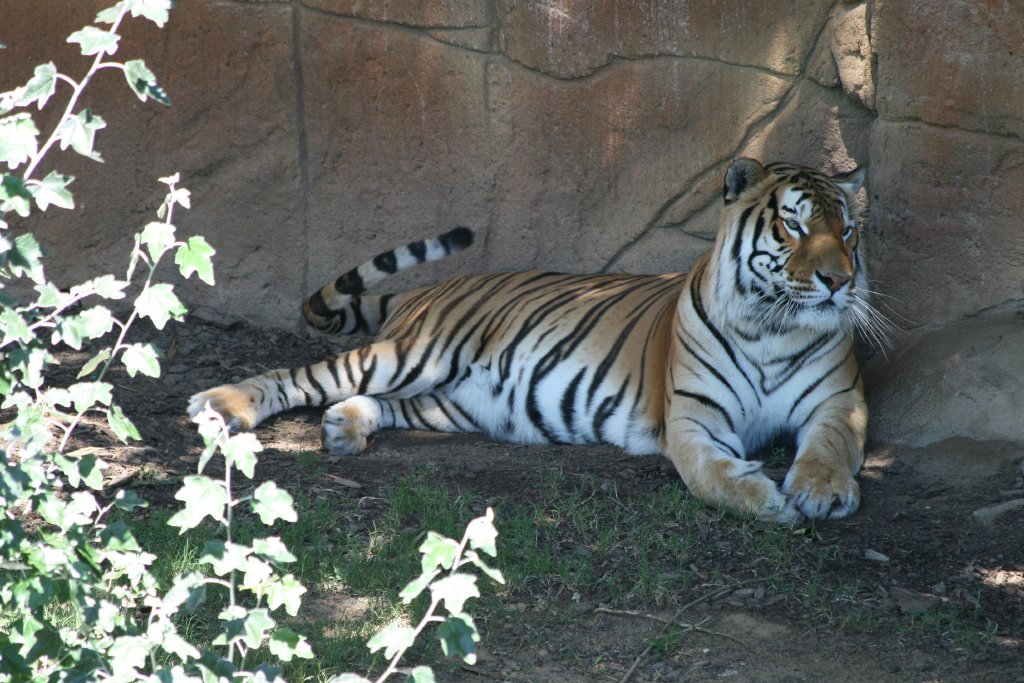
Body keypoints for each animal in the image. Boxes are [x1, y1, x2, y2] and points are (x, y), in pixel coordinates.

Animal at [189, 158, 879, 524]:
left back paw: (344, 428)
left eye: (847, 232)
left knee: (384, 404)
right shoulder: (694, 418)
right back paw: (219, 405)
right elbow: (713, 474)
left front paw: (822, 491)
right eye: (793, 227)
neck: (774, 326)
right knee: (301, 377)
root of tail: (435, 288)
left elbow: (830, 448)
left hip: (459, 401)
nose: (838, 281)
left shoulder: (839, 403)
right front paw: (768, 500)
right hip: (415, 353)